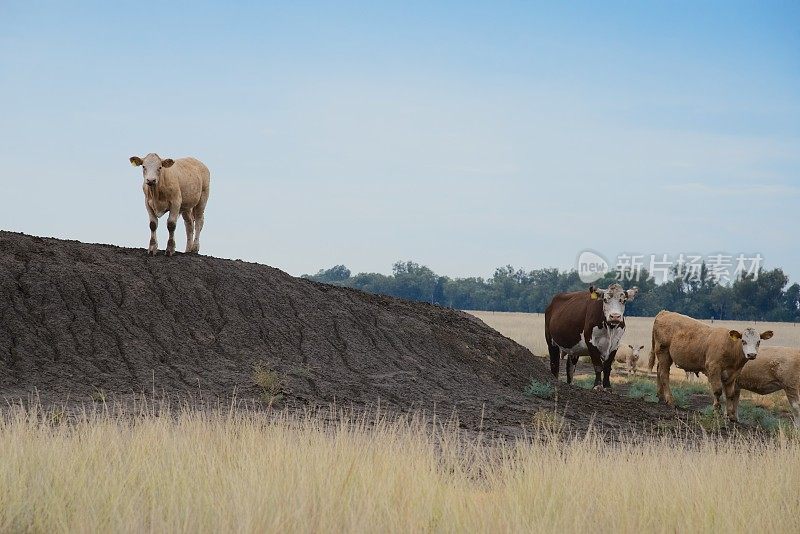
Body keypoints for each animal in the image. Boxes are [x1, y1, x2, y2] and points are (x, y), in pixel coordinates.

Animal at [648, 312, 776, 426]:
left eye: (758, 341)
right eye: (743, 341)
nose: (751, 354)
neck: (730, 347)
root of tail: (665, 312)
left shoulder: (733, 374)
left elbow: (730, 394)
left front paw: (730, 415)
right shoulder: (714, 368)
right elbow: (718, 390)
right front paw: (716, 411)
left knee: (659, 371)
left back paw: (660, 396)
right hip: (664, 352)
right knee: (664, 374)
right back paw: (670, 400)